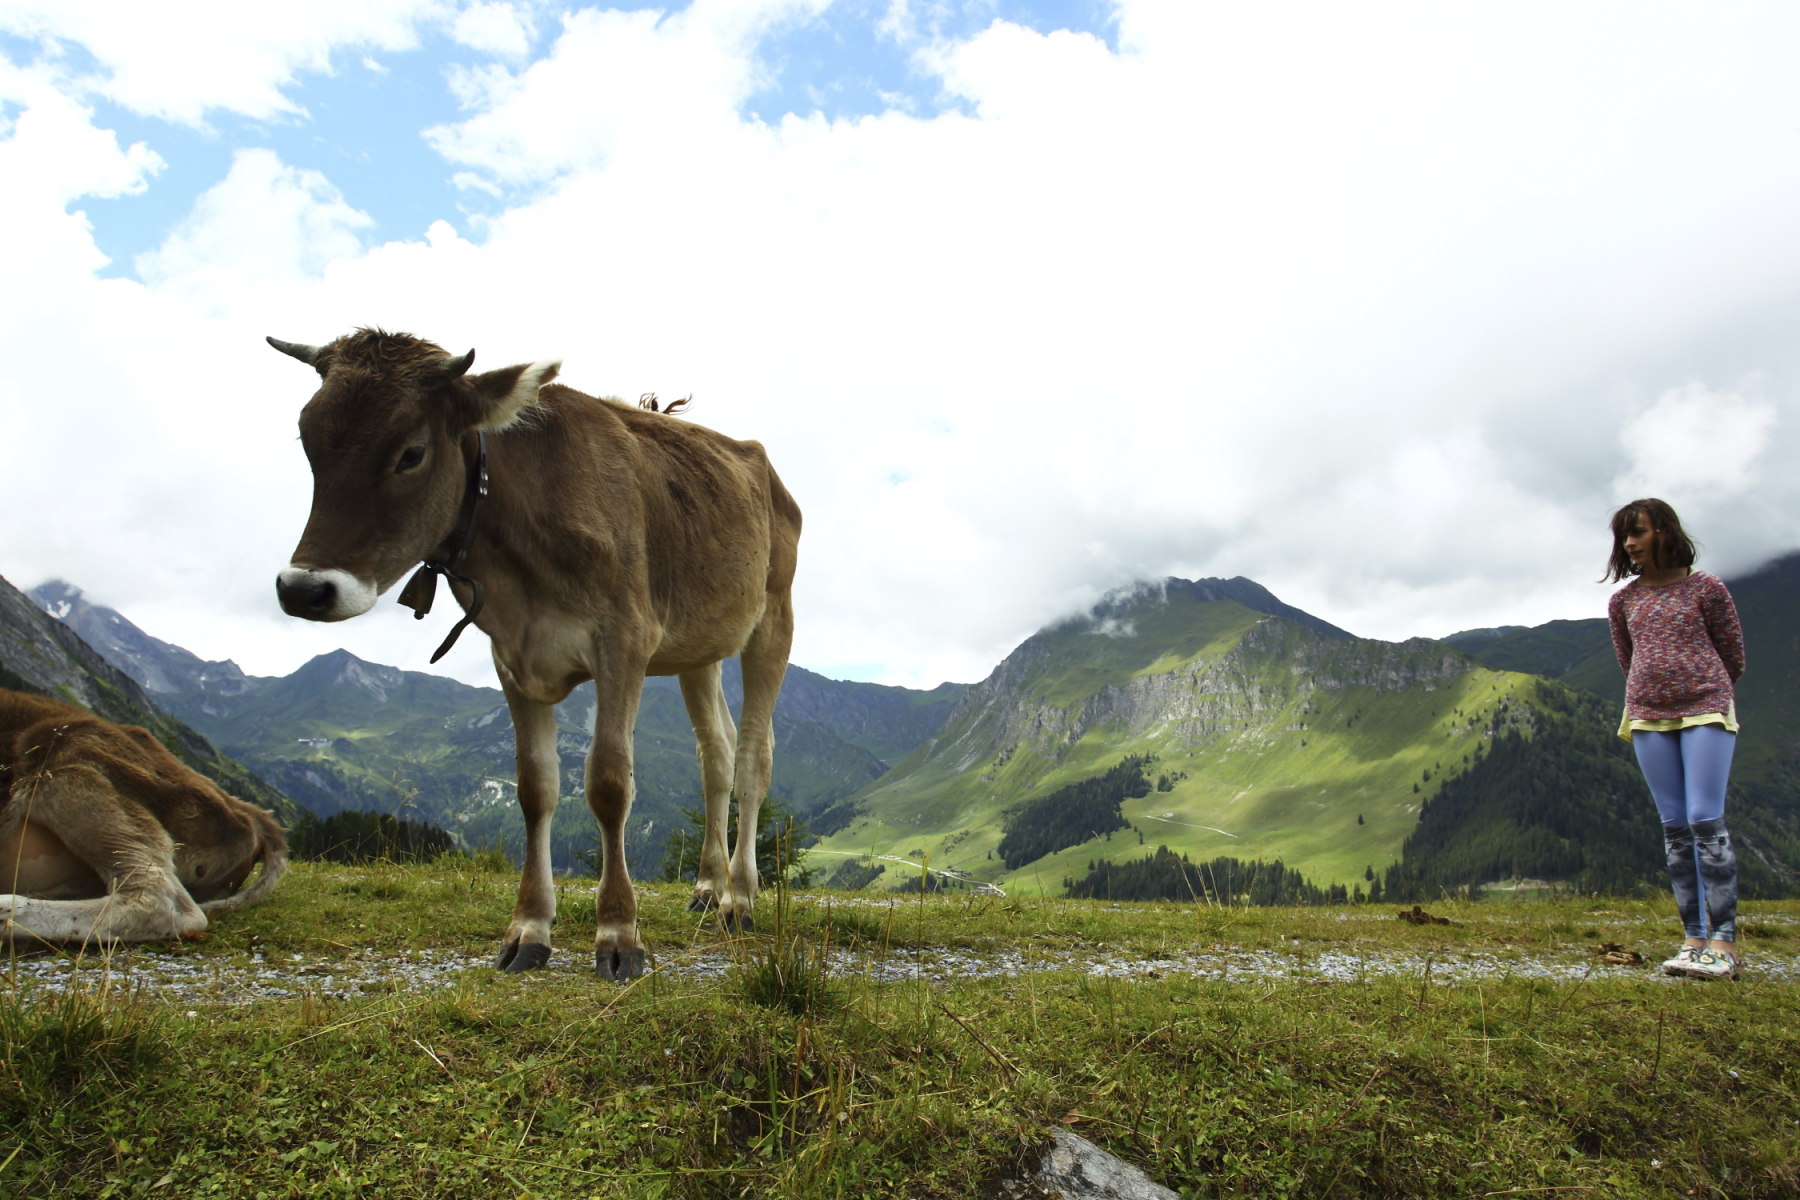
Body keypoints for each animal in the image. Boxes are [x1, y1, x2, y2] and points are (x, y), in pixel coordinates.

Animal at [266, 325, 802, 978]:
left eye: (411, 452)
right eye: (308, 441)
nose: (304, 589)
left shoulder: (624, 640)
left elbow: (608, 782)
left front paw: (618, 933)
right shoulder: (512, 656)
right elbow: (535, 788)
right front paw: (529, 929)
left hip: (773, 615)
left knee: (753, 757)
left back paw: (741, 898)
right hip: (697, 647)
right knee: (716, 755)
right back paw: (708, 886)